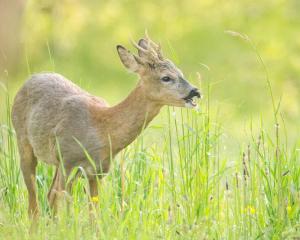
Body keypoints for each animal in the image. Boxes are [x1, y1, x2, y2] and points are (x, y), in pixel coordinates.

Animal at [11, 34, 200, 217]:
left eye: (180, 72)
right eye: (166, 77)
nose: (195, 91)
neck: (102, 129)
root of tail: (31, 78)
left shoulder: (98, 171)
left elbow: (94, 213)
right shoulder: (68, 162)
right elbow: (62, 204)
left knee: (49, 195)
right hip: (24, 143)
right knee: (35, 202)